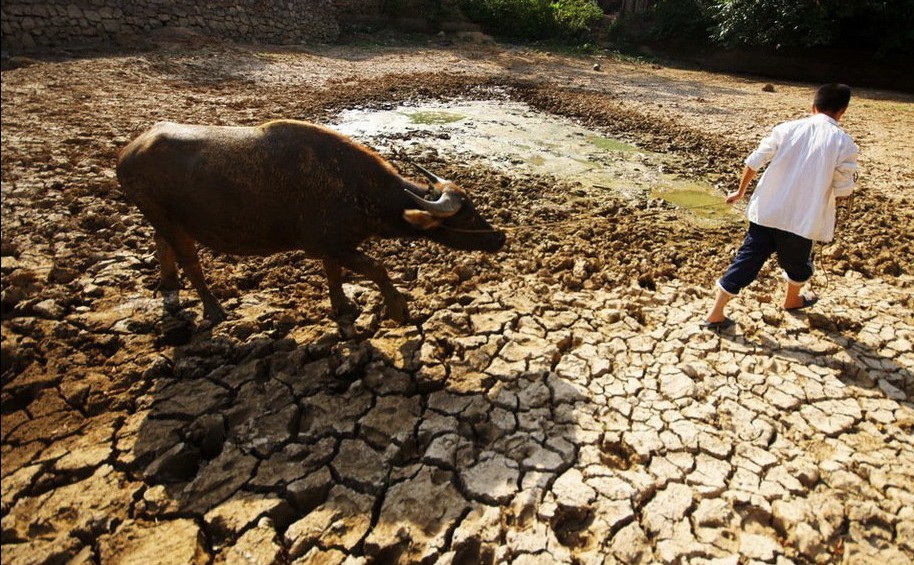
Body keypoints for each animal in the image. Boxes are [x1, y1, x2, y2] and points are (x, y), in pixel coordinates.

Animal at [114, 120, 506, 322]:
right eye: (467, 212)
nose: (499, 237)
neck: (355, 188)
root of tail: (127, 152)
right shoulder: (329, 244)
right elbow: (376, 268)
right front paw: (399, 308)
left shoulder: (334, 247)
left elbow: (334, 274)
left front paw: (343, 308)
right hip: (168, 219)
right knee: (191, 262)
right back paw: (214, 309)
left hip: (163, 219)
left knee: (162, 244)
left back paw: (169, 286)